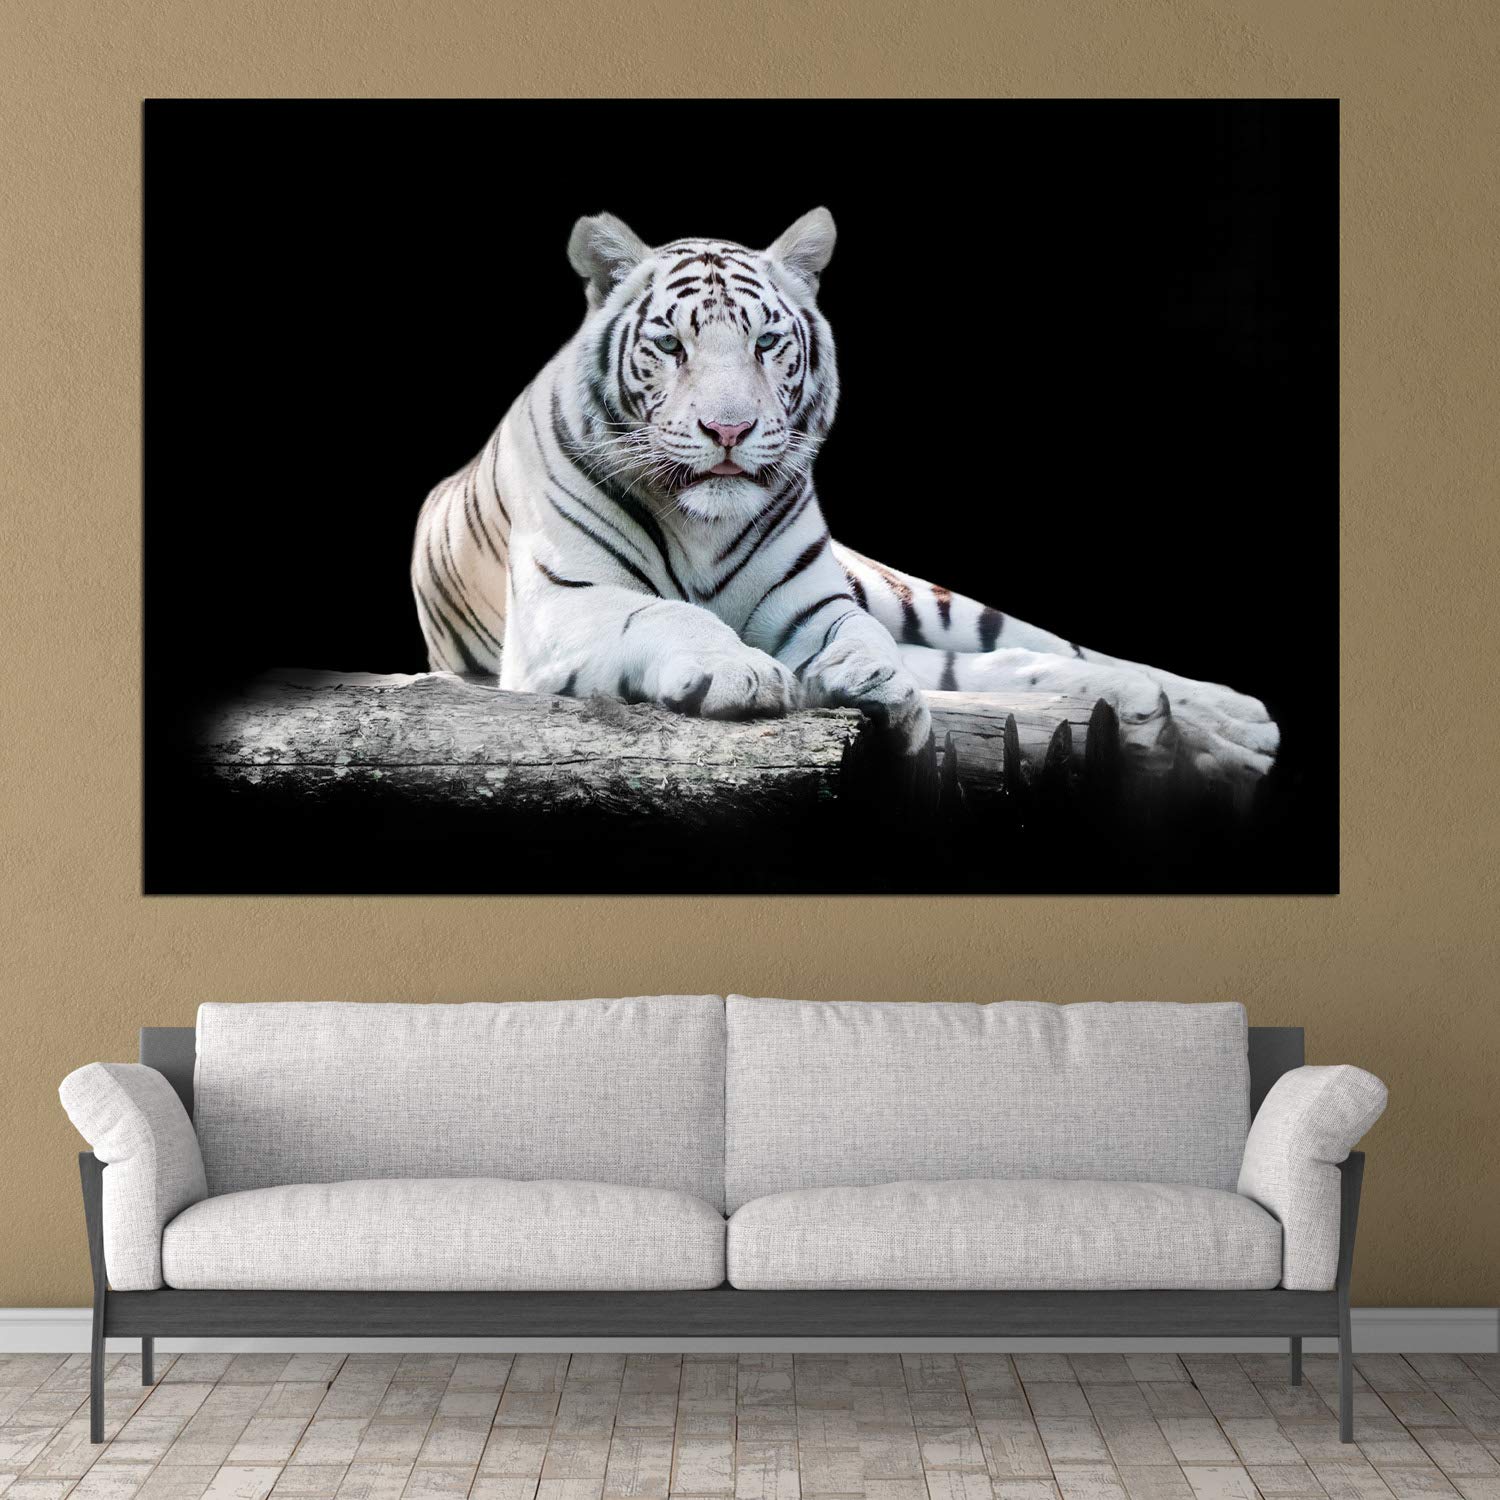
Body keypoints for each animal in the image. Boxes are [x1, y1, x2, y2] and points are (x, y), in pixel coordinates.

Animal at [412, 208, 1278, 780]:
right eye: (671, 344)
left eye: (766, 341)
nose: (729, 430)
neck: (701, 526)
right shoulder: (562, 607)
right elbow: (666, 613)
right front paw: (743, 673)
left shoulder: (816, 606)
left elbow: (860, 638)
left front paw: (874, 685)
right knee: (1006, 668)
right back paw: (1162, 718)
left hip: (914, 595)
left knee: (1049, 648)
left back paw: (1232, 722)